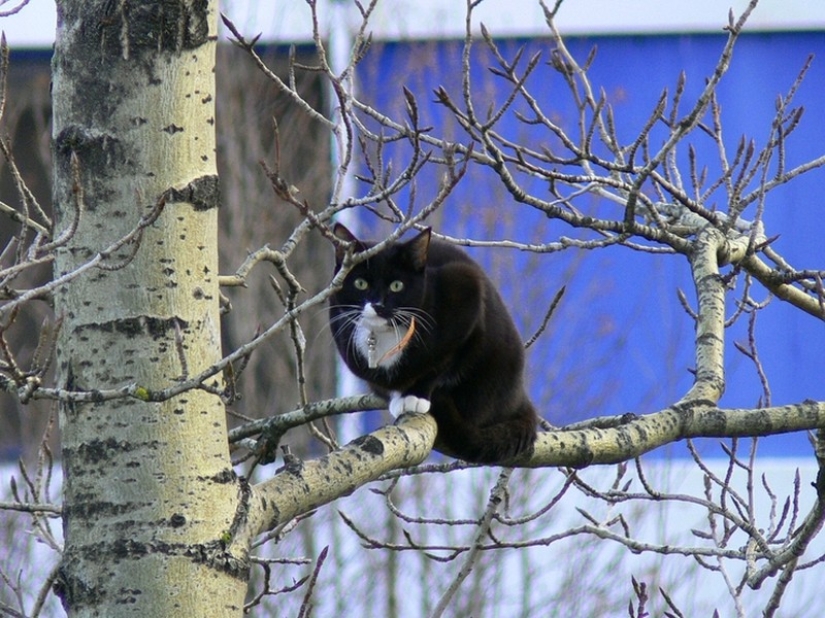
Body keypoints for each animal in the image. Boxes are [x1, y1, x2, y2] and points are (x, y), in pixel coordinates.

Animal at [332, 223, 536, 462]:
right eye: (360, 283)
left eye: (397, 285)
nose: (378, 305)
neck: (385, 333)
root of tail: (520, 397)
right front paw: (397, 396)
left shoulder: (466, 288)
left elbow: (441, 364)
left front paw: (415, 396)